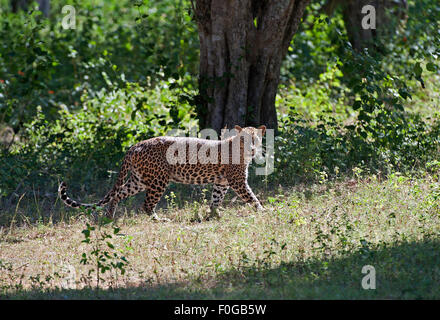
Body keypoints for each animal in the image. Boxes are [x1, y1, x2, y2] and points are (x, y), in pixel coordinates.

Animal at [58, 124, 264, 219]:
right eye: (245, 139)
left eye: (256, 139)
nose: (253, 149)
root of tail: (135, 145)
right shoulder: (238, 181)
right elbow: (251, 197)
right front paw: (264, 211)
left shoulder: (221, 183)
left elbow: (215, 199)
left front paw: (213, 215)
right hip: (158, 180)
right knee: (146, 205)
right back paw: (160, 220)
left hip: (139, 180)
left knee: (118, 194)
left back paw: (109, 218)